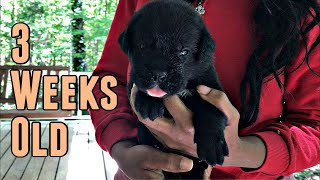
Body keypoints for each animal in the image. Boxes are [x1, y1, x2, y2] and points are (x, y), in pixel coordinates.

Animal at [119, 0, 229, 179]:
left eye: (183, 52)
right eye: (142, 46)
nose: (158, 74)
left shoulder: (211, 87)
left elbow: (212, 111)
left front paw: (212, 145)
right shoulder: (133, 82)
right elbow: (140, 87)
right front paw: (149, 102)